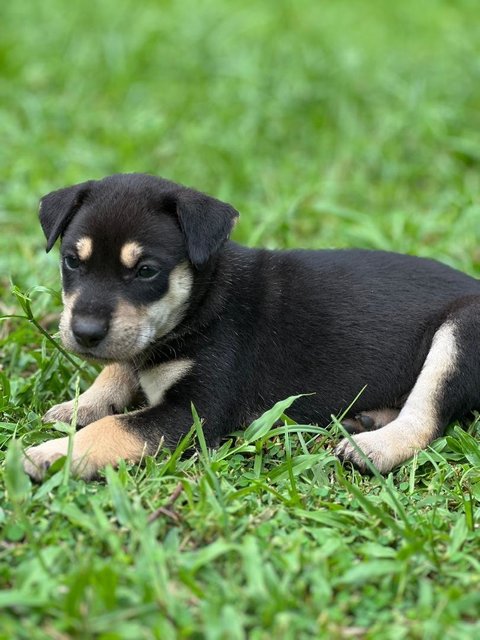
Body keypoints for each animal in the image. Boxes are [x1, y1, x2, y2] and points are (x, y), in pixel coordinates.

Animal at [21, 174, 480, 480]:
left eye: (147, 271)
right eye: (72, 262)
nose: (84, 333)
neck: (204, 299)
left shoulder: (195, 414)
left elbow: (117, 426)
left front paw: (52, 453)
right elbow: (120, 366)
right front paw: (83, 403)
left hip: (460, 332)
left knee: (426, 415)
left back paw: (373, 445)